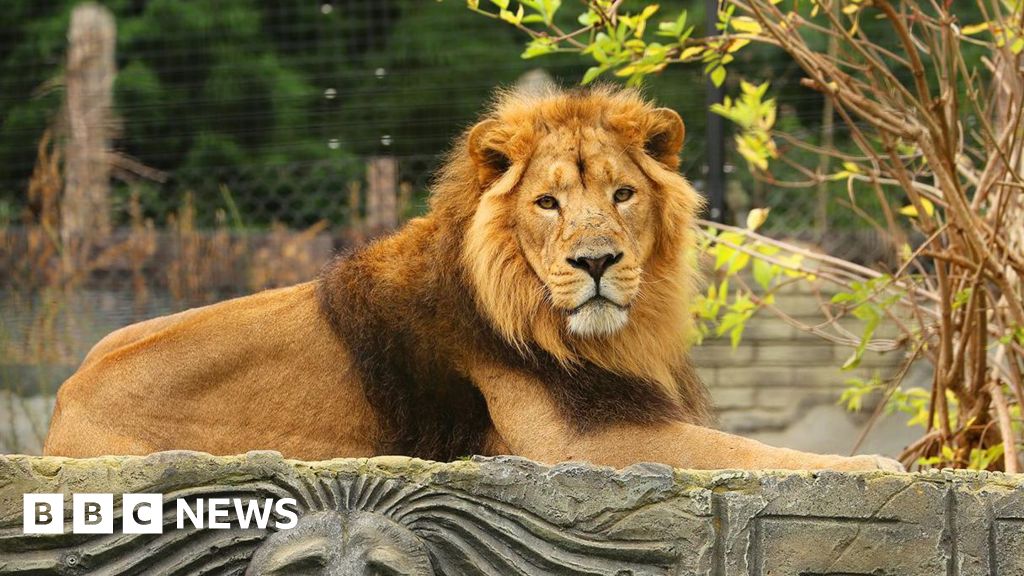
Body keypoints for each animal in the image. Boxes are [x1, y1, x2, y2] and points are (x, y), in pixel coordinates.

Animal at [43, 86, 901, 472]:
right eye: (548, 203)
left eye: (622, 194)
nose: (596, 262)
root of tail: (61, 401)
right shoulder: (575, 440)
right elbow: (751, 453)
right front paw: (876, 463)